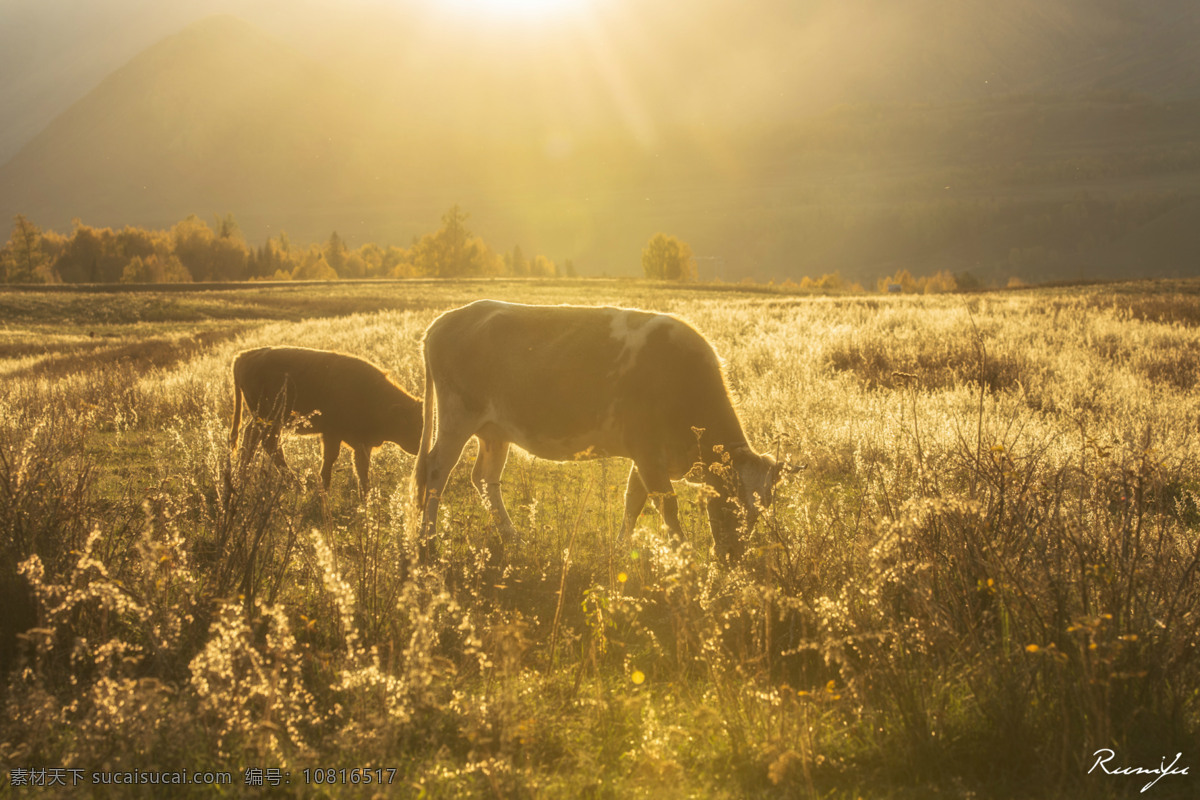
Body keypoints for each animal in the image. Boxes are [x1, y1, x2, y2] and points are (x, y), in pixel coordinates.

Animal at [229, 347, 422, 496]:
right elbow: (330, 460)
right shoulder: (332, 434)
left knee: (258, 440)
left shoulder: (361, 443)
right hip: (269, 418)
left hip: (266, 420)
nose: (420, 448)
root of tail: (243, 356)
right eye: (412, 424)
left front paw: (367, 496)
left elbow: (361, 468)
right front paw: (324, 490)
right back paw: (295, 486)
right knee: (264, 443)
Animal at [417, 299, 782, 563]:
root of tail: (445, 319)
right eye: (732, 500)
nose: (733, 557)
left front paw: (621, 549)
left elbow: (633, 501)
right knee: (436, 472)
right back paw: (427, 540)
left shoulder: (646, 456)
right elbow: (666, 505)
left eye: (759, 513)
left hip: (495, 432)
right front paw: (685, 556)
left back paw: (513, 537)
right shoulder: (648, 452)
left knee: (484, 479)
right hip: (457, 417)